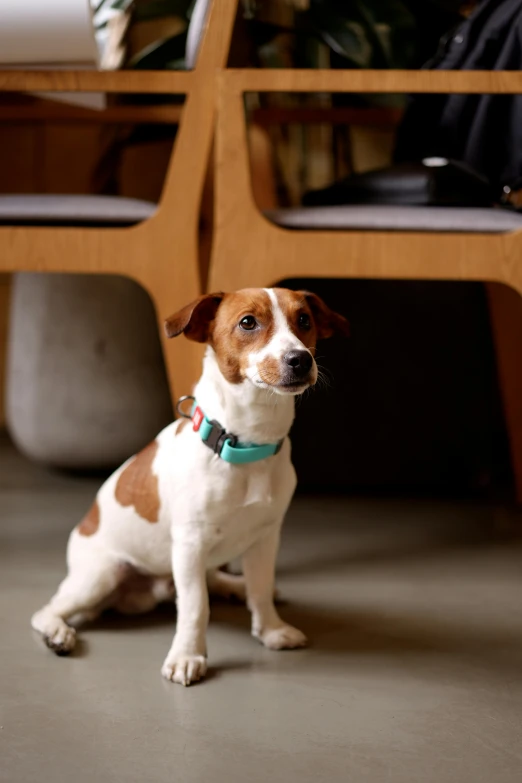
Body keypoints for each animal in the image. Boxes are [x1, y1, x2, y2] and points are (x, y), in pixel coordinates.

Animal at [30, 288, 348, 688]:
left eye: (304, 320)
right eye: (248, 322)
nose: (300, 359)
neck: (245, 445)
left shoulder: (265, 538)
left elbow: (260, 589)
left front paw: (271, 629)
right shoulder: (190, 545)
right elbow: (196, 607)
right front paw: (187, 656)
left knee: (223, 580)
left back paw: (234, 586)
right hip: (100, 576)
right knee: (46, 610)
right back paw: (57, 632)